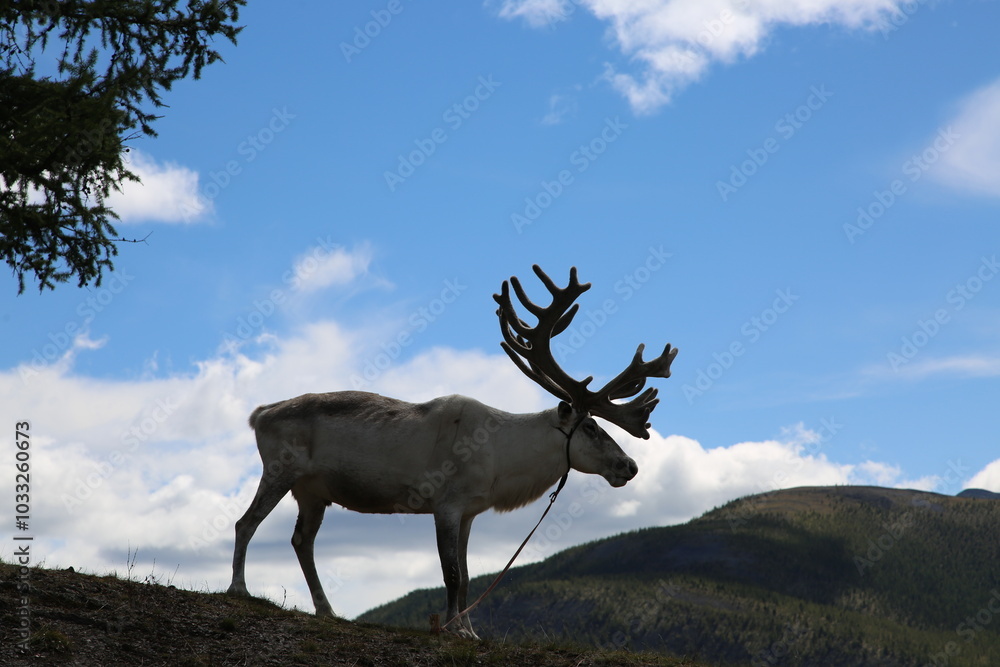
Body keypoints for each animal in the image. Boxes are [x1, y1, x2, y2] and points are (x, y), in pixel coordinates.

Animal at [226, 265, 677, 639]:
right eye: (590, 426)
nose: (630, 466)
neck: (502, 461)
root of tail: (259, 414)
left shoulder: (470, 511)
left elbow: (468, 575)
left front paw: (469, 631)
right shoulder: (445, 503)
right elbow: (451, 574)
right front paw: (454, 630)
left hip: (313, 491)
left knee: (302, 540)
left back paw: (327, 609)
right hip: (279, 469)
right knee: (245, 522)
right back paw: (238, 588)